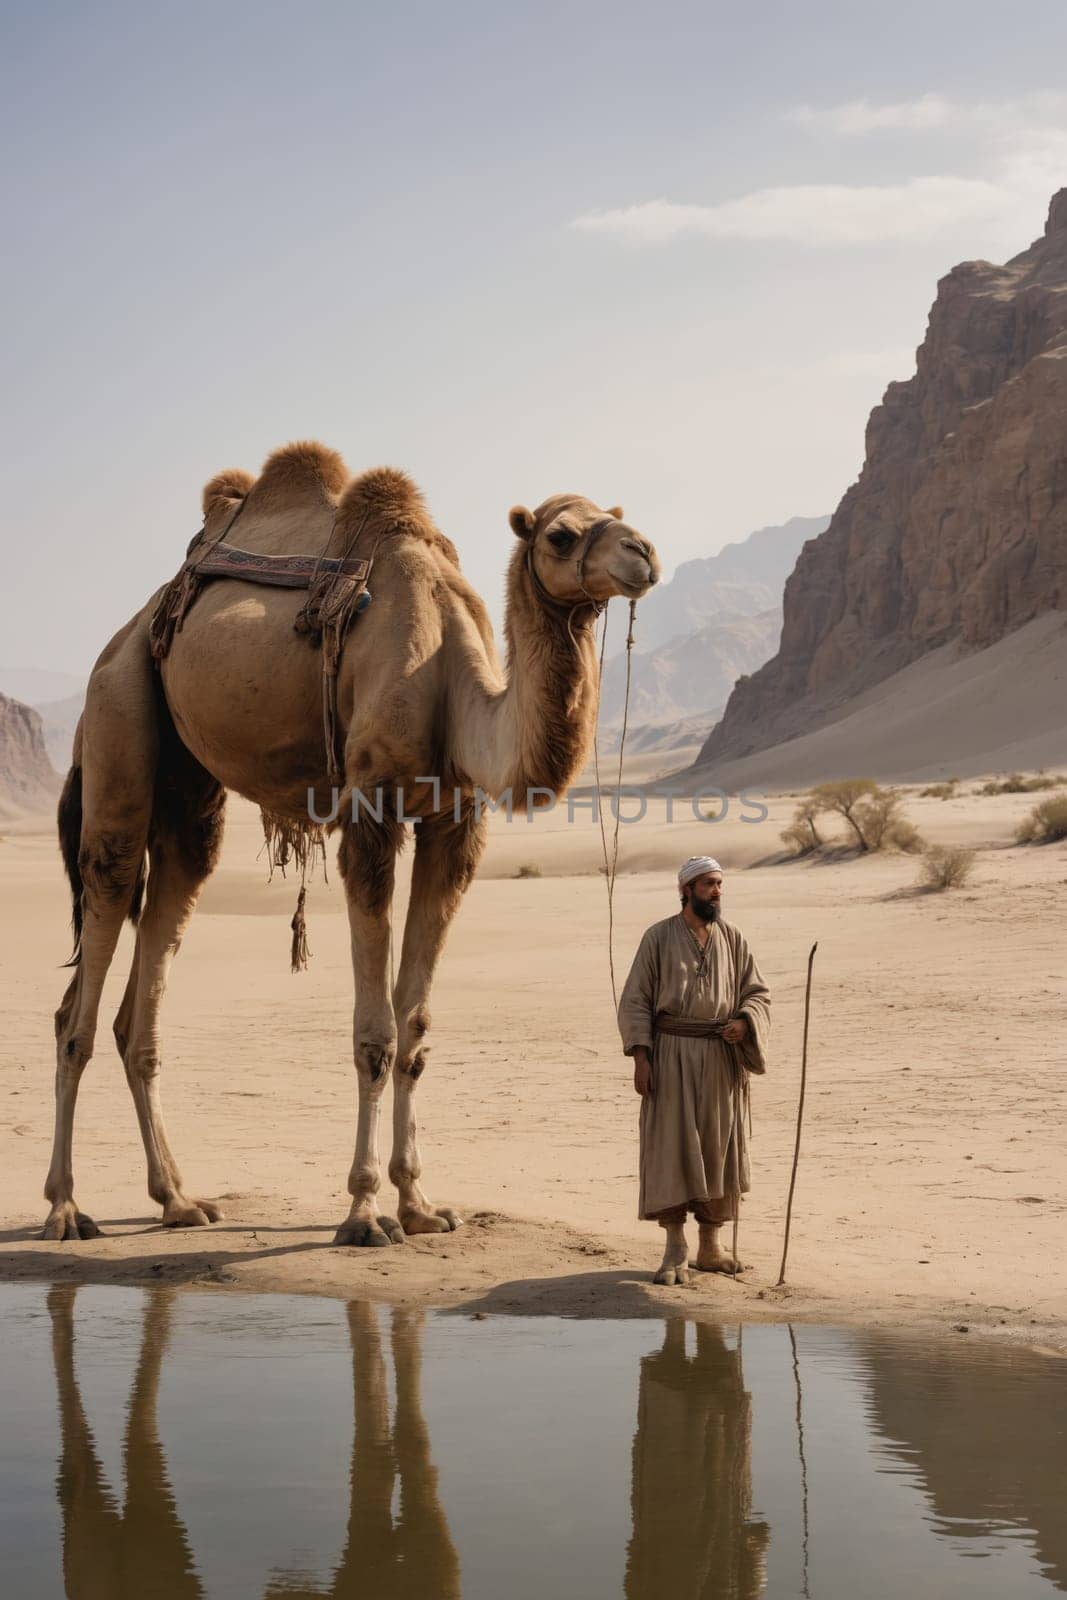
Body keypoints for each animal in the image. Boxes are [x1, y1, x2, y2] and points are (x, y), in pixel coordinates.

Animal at [43, 444, 659, 1241]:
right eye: (560, 534)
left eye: (613, 516)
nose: (642, 552)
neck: (448, 678)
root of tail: (125, 633)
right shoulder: (371, 812)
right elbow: (376, 1034)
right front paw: (366, 1211)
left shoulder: (454, 823)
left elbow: (415, 1026)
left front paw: (420, 1205)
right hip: (120, 707)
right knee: (88, 966)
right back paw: (65, 1207)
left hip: (187, 789)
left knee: (152, 959)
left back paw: (178, 1199)